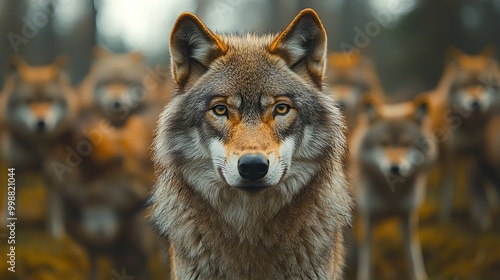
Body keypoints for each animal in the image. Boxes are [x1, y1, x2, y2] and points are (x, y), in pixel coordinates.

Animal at [0, 55, 78, 238]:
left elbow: (55, 206)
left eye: (50, 100)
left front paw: (56, 233)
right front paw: (6, 224)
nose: (41, 123)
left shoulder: (54, 172)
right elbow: (10, 199)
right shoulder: (14, 165)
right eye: (28, 101)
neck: (37, 149)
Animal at [350, 93, 436, 280]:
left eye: (407, 144)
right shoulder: (369, 219)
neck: (392, 194)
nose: (395, 168)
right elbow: (367, 262)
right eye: (383, 143)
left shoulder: (407, 217)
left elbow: (414, 259)